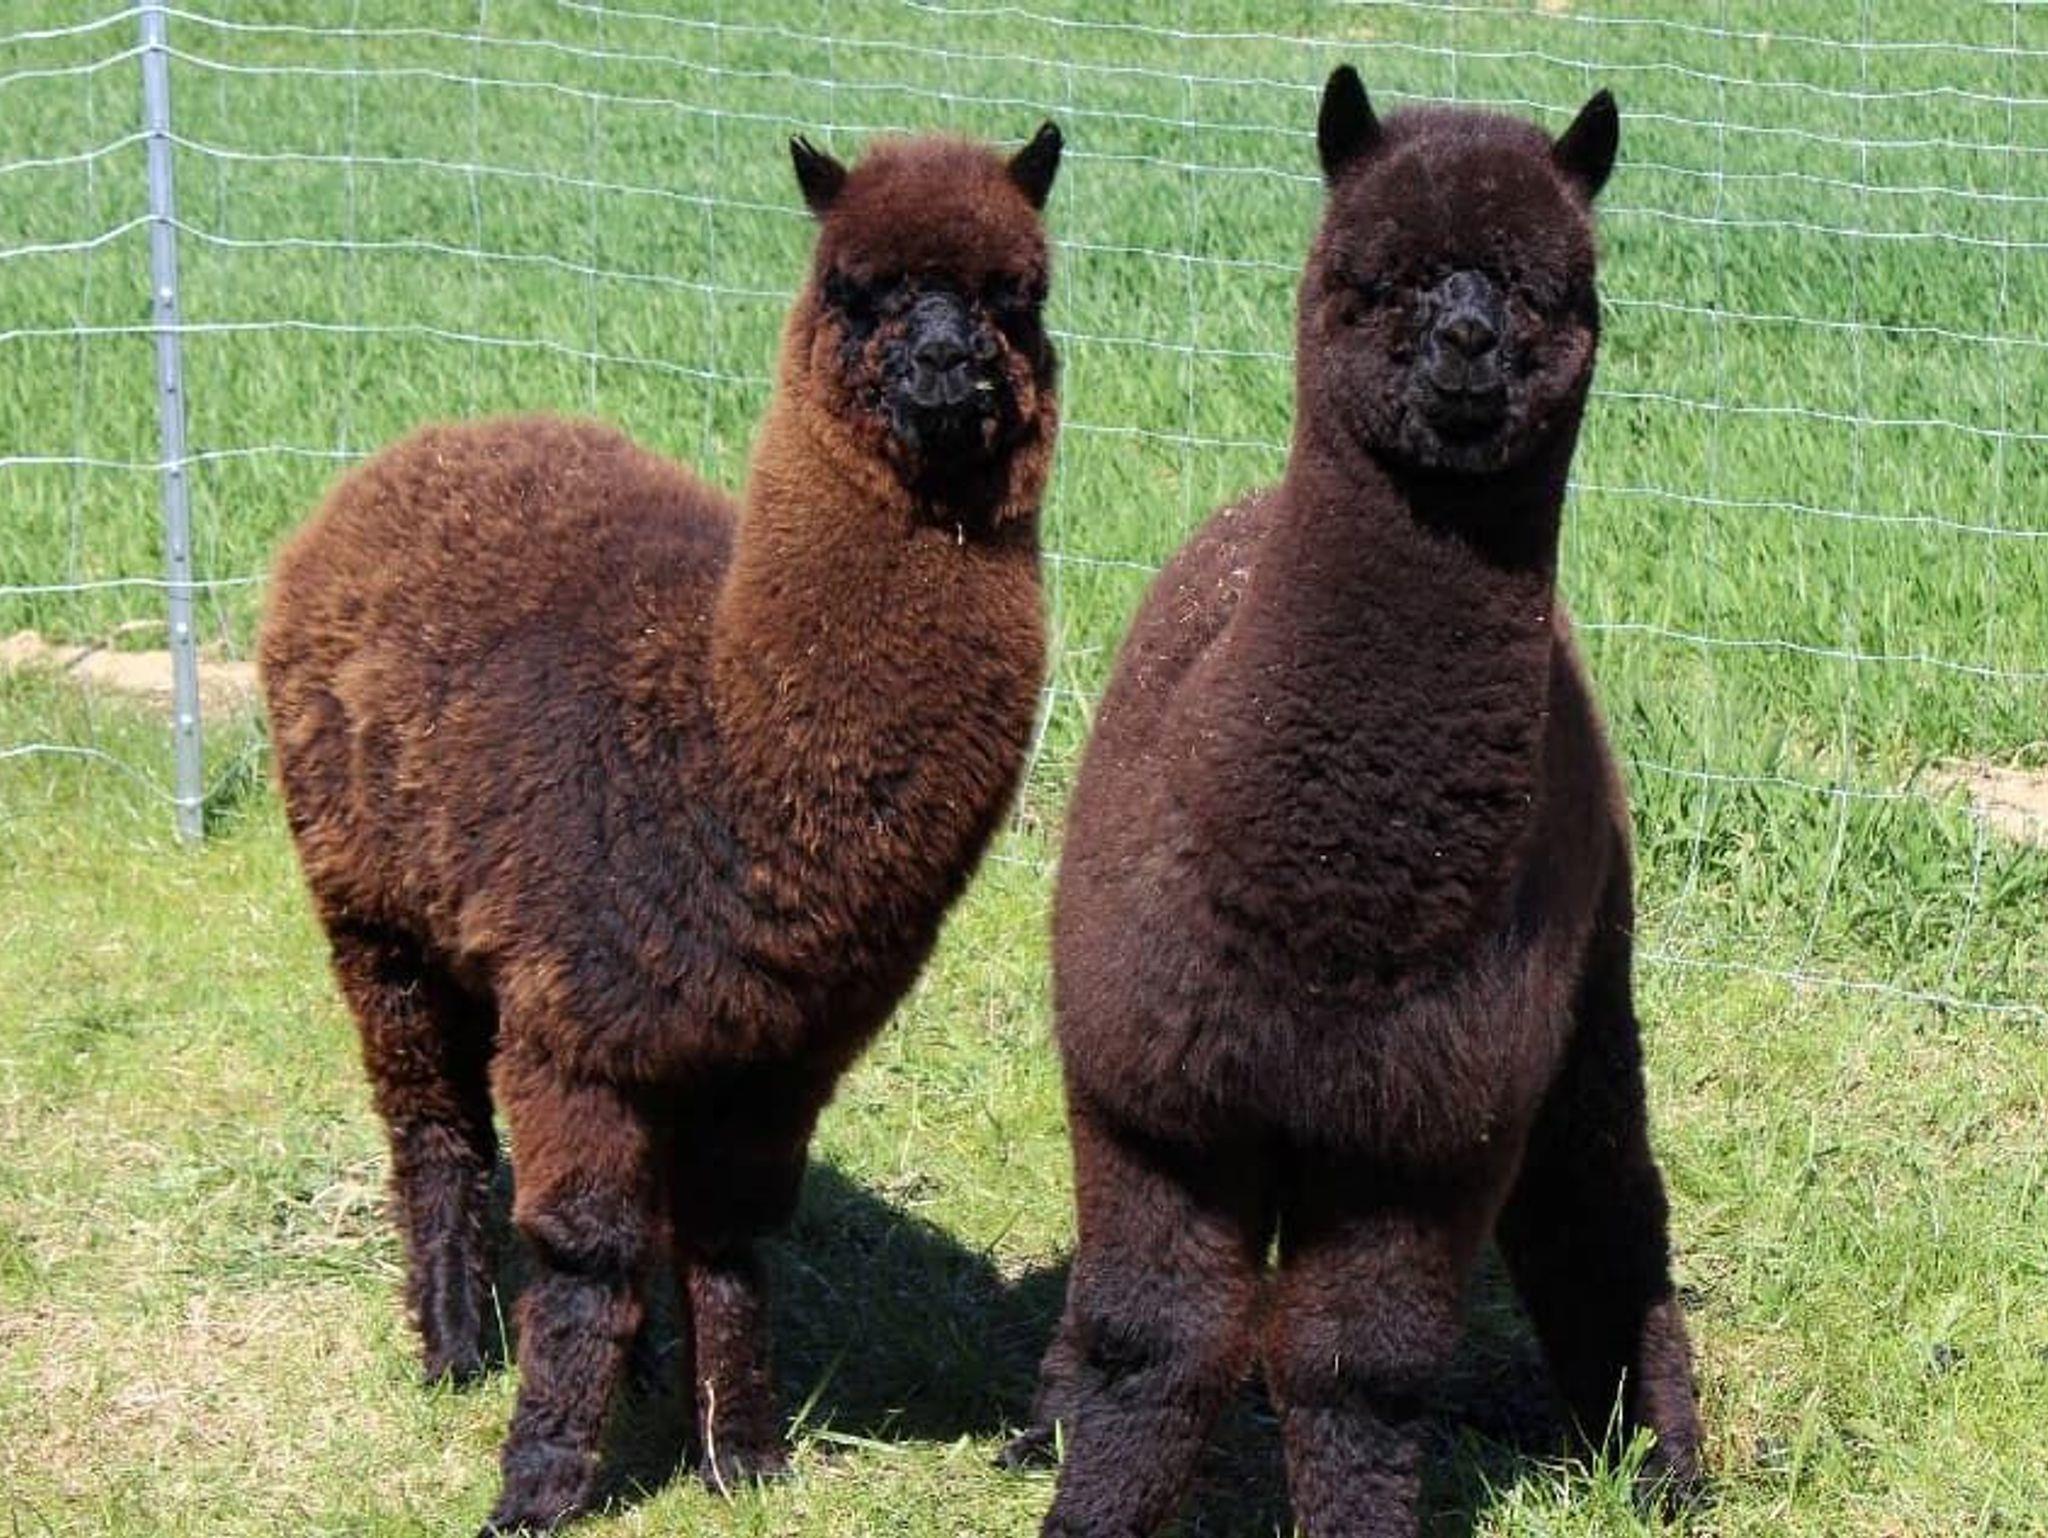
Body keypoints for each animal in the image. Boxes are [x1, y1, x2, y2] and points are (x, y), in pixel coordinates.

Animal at [258, 123, 1063, 1535]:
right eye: (854, 289)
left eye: (1018, 294)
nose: (945, 368)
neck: (718, 754)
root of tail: (419, 446)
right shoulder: (581, 1018)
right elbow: (582, 1246)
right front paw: (534, 1486)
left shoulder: (778, 1048)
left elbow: (728, 1238)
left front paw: (740, 1453)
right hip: (369, 908)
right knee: (432, 1127)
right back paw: (453, 1347)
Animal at [1007, 71, 1701, 1537]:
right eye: (1377, 274)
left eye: (1549, 286)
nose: (1468, 341)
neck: (1327, 919)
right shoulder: (1157, 1091)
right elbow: (1153, 1337)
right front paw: (1088, 1500)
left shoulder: (1422, 1136)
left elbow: (1360, 1372)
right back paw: (1039, 1420)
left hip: (1587, 973)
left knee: (1602, 1195)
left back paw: (1665, 1465)